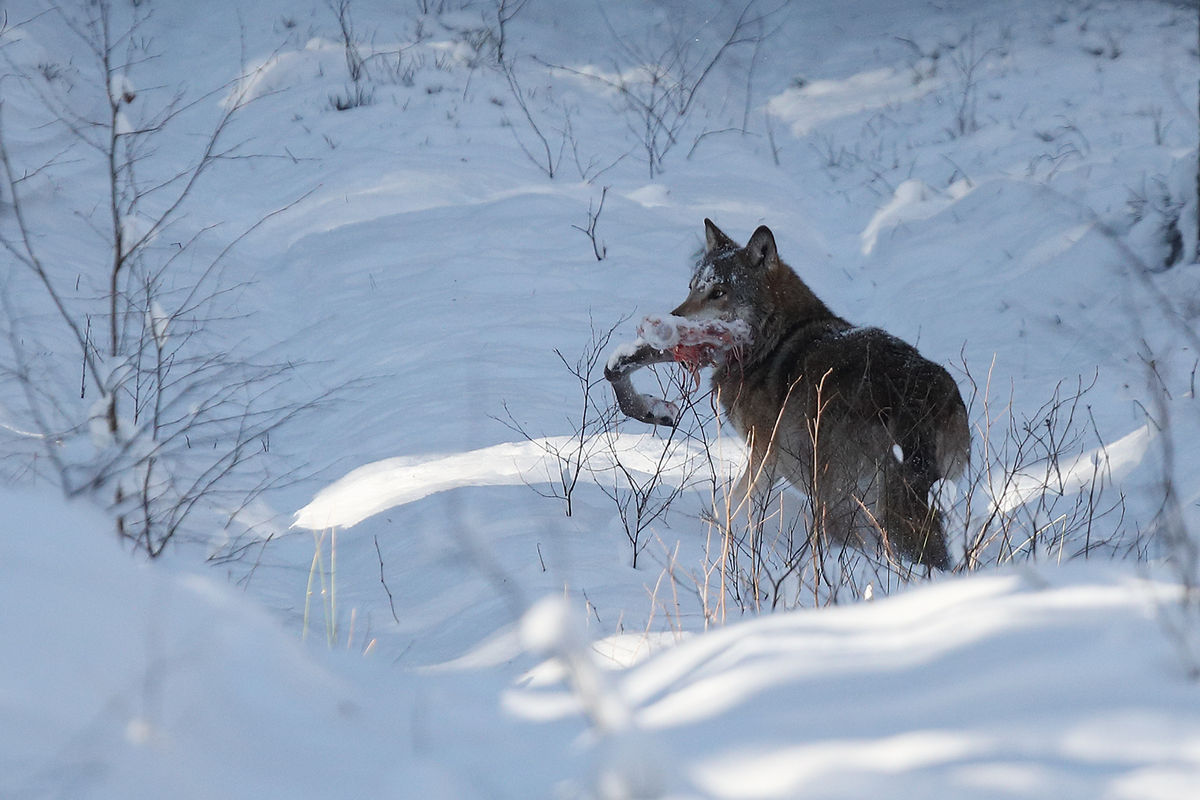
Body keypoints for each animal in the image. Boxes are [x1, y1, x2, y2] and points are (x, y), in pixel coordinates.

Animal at [614, 219, 969, 568]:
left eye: (718, 293)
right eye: (692, 288)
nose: (670, 322)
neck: (772, 338)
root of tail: (912, 397)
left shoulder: (764, 454)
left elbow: (736, 502)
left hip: (836, 501)